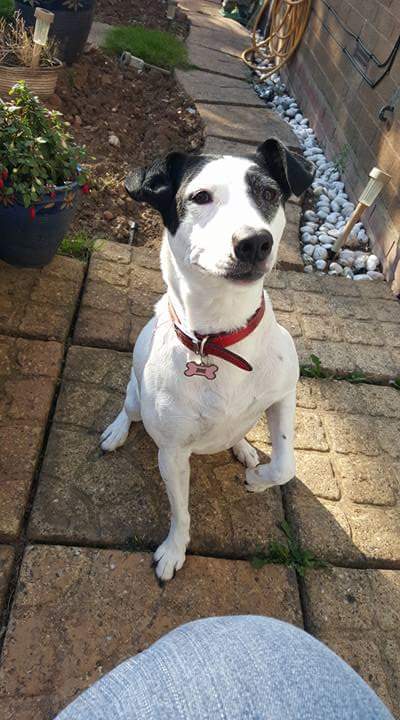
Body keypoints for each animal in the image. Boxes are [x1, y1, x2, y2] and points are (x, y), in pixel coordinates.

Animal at [101, 138, 314, 582]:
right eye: (200, 197)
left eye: (269, 193)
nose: (254, 242)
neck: (217, 340)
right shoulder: (172, 454)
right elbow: (180, 512)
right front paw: (173, 550)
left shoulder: (285, 393)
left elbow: (285, 464)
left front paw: (257, 477)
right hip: (135, 394)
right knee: (128, 408)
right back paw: (116, 432)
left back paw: (244, 447)